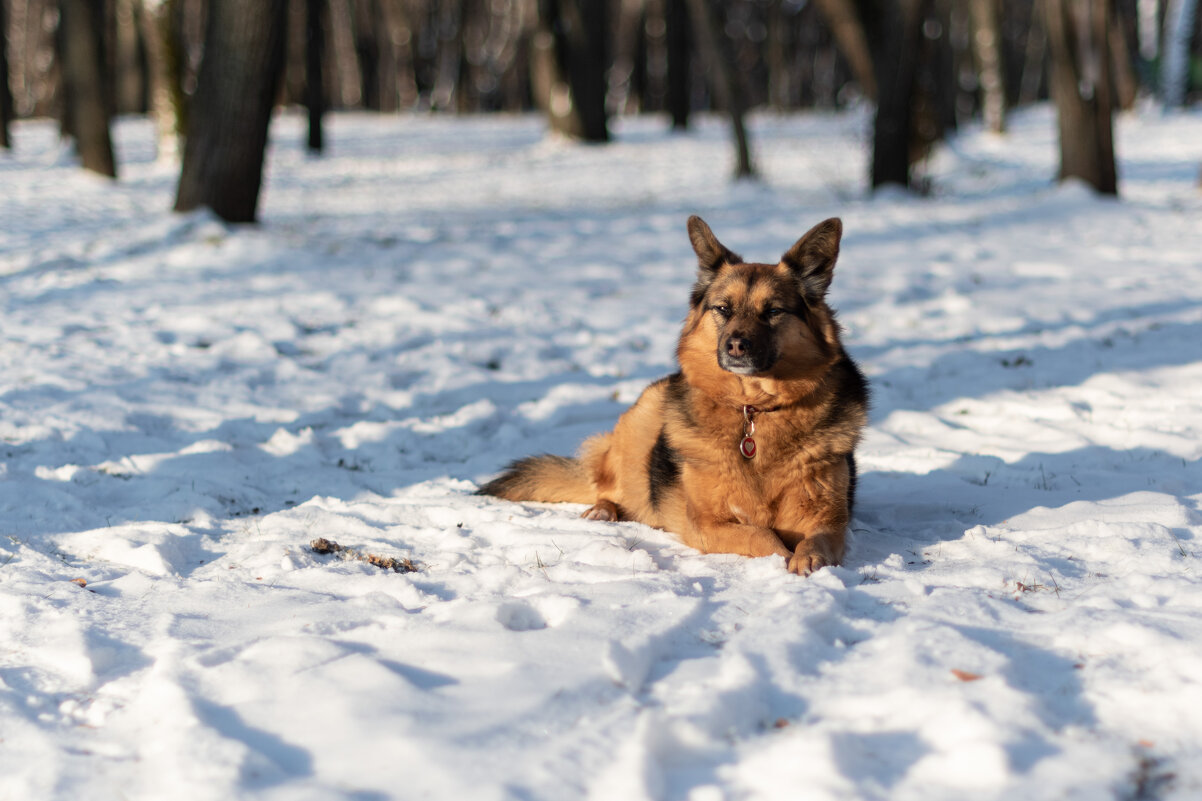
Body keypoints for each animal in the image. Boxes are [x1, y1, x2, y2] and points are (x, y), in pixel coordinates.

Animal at [483, 215, 870, 570]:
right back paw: (603, 511)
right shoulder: (707, 523)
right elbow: (760, 536)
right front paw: (783, 556)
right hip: (643, 419)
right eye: (723, 309)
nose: (736, 346)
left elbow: (816, 542)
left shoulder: (828, 521)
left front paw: (807, 561)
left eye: (773, 311)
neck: (754, 409)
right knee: (607, 487)